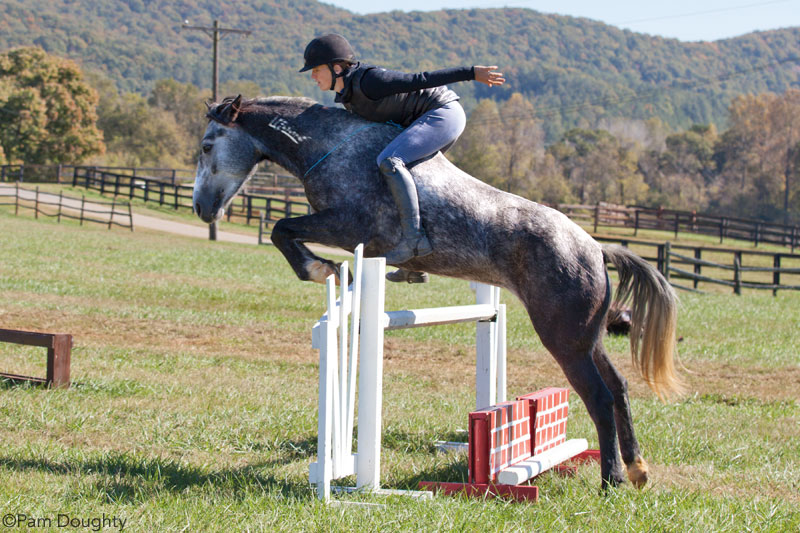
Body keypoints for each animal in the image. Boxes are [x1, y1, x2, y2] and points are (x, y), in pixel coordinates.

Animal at [194, 94, 680, 486]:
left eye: (206, 146)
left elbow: (282, 228)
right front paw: (340, 270)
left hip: (564, 339)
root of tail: (595, 248)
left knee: (599, 396)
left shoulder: (348, 225)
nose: (201, 208)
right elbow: (286, 230)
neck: (331, 147)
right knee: (619, 387)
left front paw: (320, 268)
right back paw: (638, 469)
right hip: (585, 337)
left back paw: (612, 479)